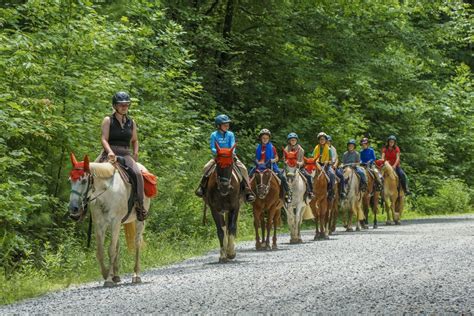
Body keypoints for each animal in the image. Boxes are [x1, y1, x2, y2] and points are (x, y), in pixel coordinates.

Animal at [68, 152, 150, 286]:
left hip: (139, 220)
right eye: (70, 180)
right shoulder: (99, 224)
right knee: (117, 246)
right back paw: (116, 275)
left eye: (84, 180)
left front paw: (109, 279)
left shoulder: (115, 221)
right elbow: (101, 251)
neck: (107, 193)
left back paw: (136, 275)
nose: (73, 208)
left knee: (137, 242)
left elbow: (111, 250)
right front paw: (107, 274)